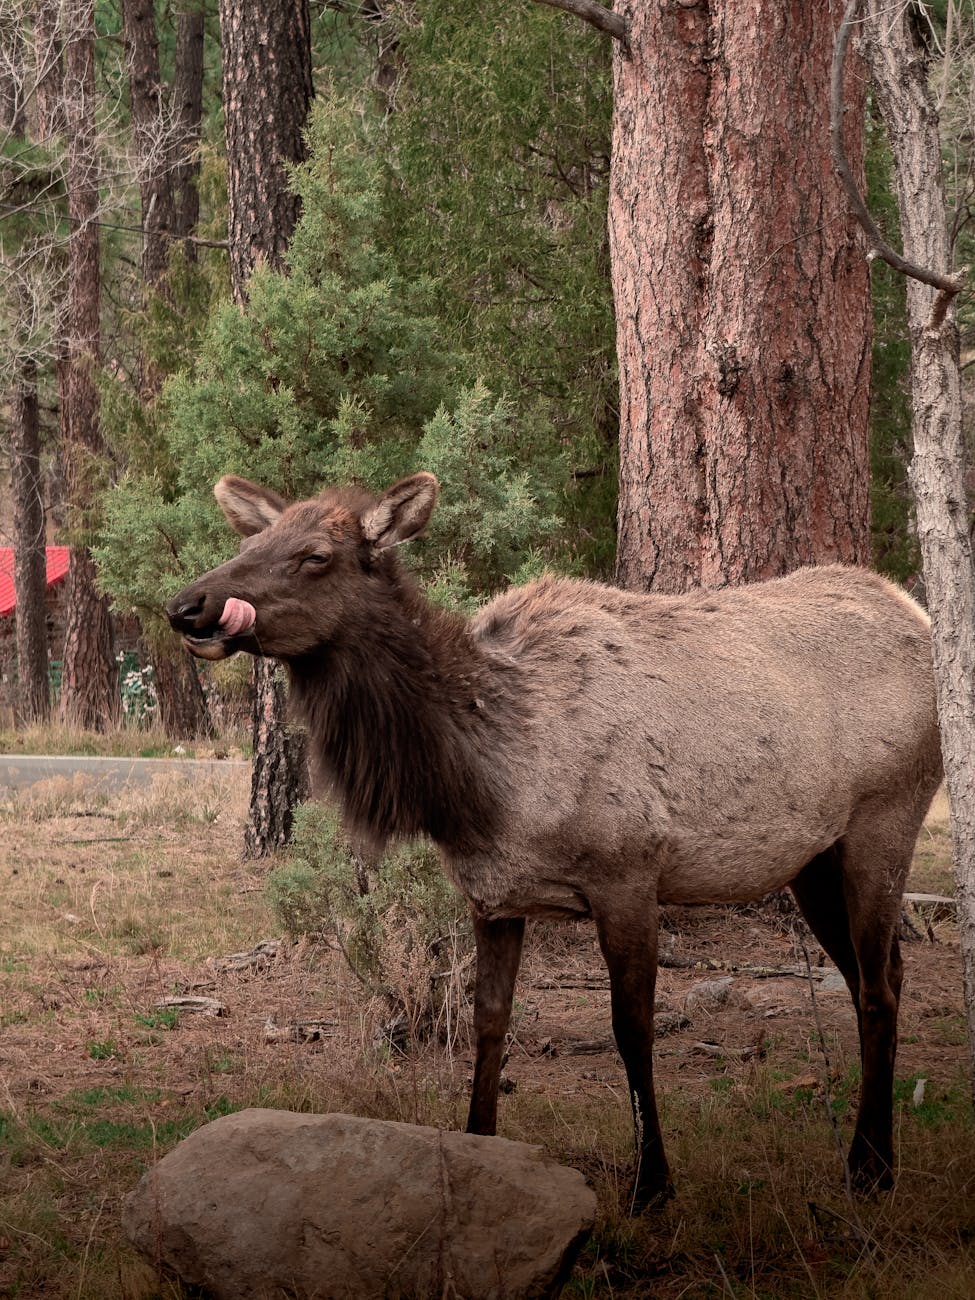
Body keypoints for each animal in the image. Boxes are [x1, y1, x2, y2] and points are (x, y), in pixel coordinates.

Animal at [166, 470, 943, 1210]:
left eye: (315, 556)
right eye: (248, 542)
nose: (187, 606)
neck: (480, 782)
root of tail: (916, 613)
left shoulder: (627, 874)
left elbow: (632, 1029)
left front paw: (652, 1185)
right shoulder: (491, 896)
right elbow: (488, 1021)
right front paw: (479, 1144)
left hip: (886, 815)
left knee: (878, 987)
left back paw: (871, 1167)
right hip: (813, 858)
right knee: (882, 975)